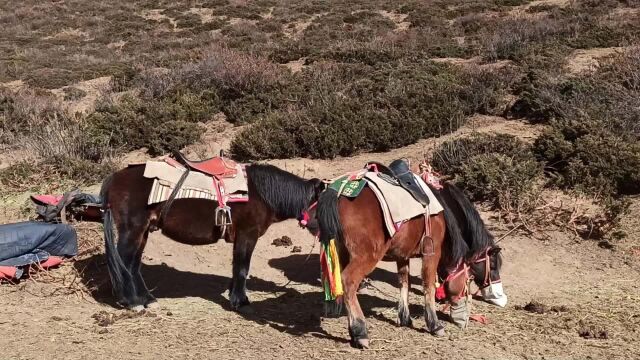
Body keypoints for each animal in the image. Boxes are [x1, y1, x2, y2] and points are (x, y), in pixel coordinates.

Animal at [100, 162, 324, 310]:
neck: (261, 194)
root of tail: (114, 178)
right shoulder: (248, 234)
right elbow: (242, 268)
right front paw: (240, 301)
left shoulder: (240, 237)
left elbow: (236, 267)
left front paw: (234, 295)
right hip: (133, 230)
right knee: (124, 263)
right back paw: (132, 302)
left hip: (143, 232)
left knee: (133, 266)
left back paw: (146, 299)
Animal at [306, 181, 504, 348]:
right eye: (493, 265)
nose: (464, 321)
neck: (443, 213)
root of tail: (337, 194)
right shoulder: (432, 254)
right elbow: (428, 285)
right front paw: (434, 324)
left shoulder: (402, 255)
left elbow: (404, 282)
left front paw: (405, 318)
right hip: (365, 257)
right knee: (348, 282)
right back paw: (360, 332)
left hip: (340, 253)